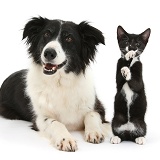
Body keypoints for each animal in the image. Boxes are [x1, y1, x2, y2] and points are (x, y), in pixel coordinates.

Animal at [0, 16, 109, 152]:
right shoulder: (39, 118)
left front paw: (95, 132)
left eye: (69, 38)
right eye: (46, 34)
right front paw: (65, 139)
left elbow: (91, 115)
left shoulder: (98, 106)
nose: (49, 53)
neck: (60, 83)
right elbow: (55, 123)